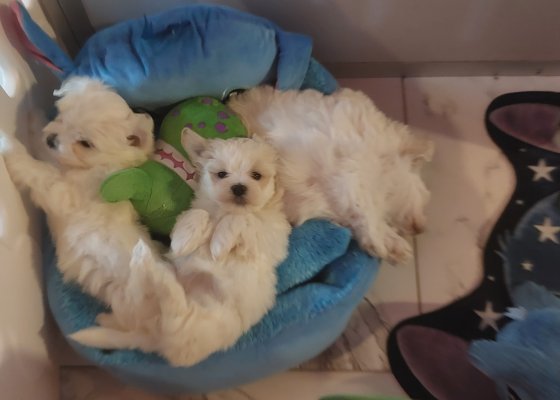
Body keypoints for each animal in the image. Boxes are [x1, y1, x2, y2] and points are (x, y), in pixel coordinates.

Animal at [0, 76, 168, 329]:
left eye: (85, 143)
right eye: (62, 115)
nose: (52, 139)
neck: (98, 166)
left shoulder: (64, 192)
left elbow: (38, 171)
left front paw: (8, 143)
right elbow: (44, 153)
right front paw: (35, 117)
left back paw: (103, 322)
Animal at [69, 130, 291, 366]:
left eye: (256, 175)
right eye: (222, 174)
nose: (238, 187)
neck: (222, 210)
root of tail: (151, 338)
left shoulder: (269, 236)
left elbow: (243, 219)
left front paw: (218, 244)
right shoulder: (194, 215)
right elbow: (198, 215)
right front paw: (188, 239)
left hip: (199, 325)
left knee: (174, 310)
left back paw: (145, 264)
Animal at [228, 86, 434, 264]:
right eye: (424, 195)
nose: (422, 228)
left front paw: (390, 245)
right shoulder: (354, 171)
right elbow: (367, 209)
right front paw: (386, 244)